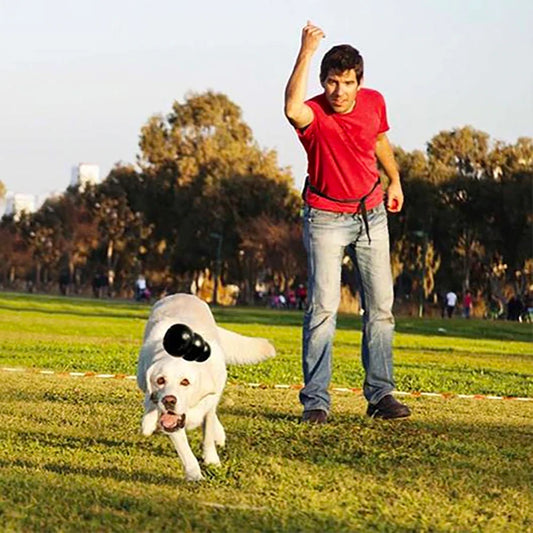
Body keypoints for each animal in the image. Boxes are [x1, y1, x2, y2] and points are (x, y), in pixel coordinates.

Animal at [137, 294, 274, 480]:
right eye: (160, 380)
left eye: (185, 382)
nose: (169, 401)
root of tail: (182, 294)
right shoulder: (172, 420)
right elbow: (185, 450)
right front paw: (194, 474)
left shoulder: (208, 403)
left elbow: (208, 432)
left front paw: (211, 460)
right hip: (141, 376)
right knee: (148, 398)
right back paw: (148, 422)